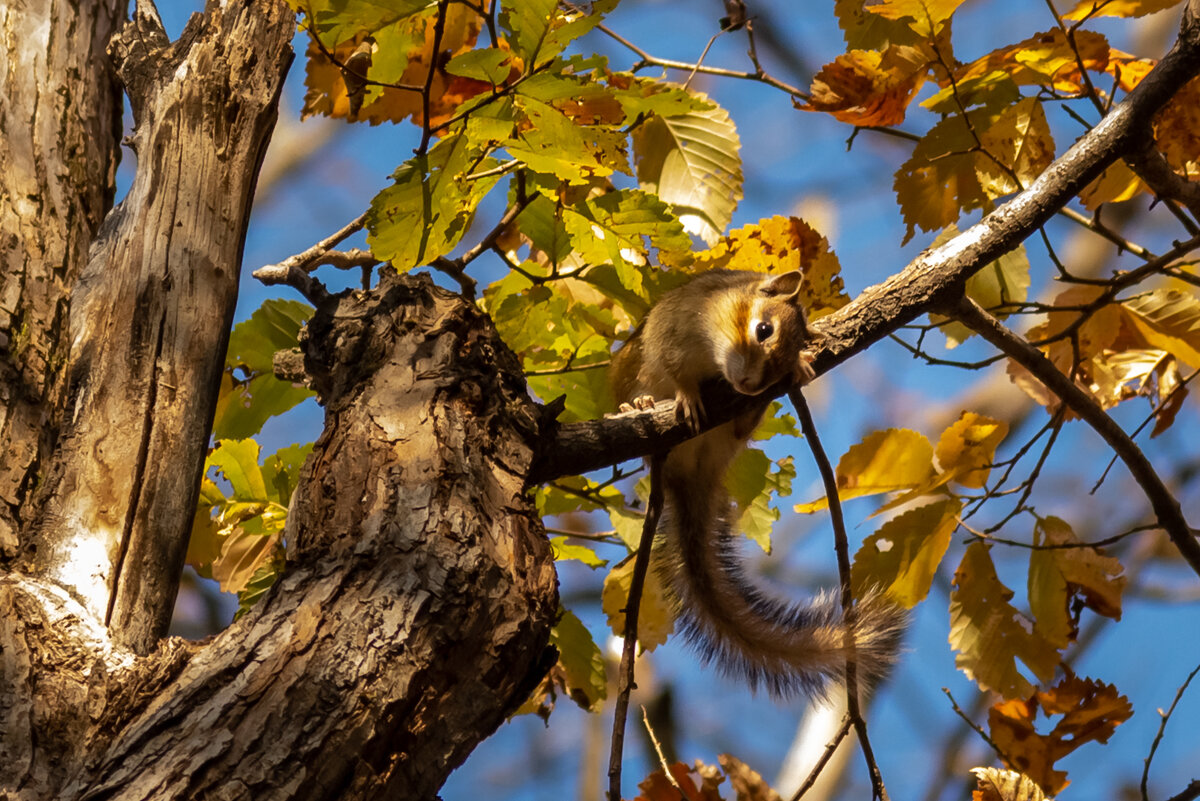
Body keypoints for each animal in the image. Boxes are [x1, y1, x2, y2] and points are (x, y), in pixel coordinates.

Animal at [609, 267, 902, 695]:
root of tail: (694, 474)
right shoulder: (672, 328)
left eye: (779, 366)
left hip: (733, 433)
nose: (750, 385)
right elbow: (675, 370)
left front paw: (799, 366)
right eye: (763, 329)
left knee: (742, 426)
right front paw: (686, 395)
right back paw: (640, 403)